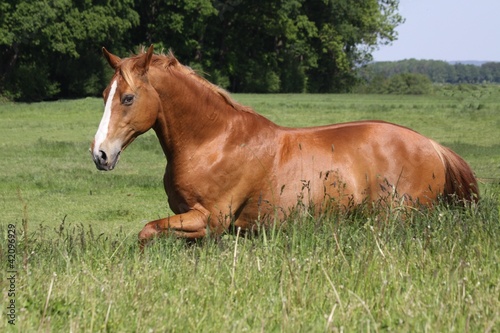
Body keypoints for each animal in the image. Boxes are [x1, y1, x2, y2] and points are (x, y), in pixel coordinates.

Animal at [92, 45, 478, 244]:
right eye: (104, 94)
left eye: (127, 98)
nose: (100, 154)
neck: (214, 142)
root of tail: (433, 146)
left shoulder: (209, 219)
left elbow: (146, 232)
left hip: (394, 219)